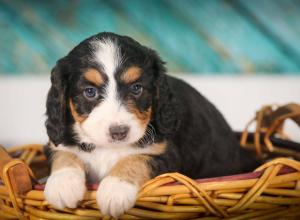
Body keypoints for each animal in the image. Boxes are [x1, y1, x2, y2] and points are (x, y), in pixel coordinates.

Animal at [44, 31, 258, 217]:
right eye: (90, 92)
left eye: (136, 88)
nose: (119, 132)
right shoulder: (55, 140)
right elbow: (63, 153)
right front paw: (63, 184)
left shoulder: (166, 154)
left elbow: (135, 159)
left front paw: (115, 188)